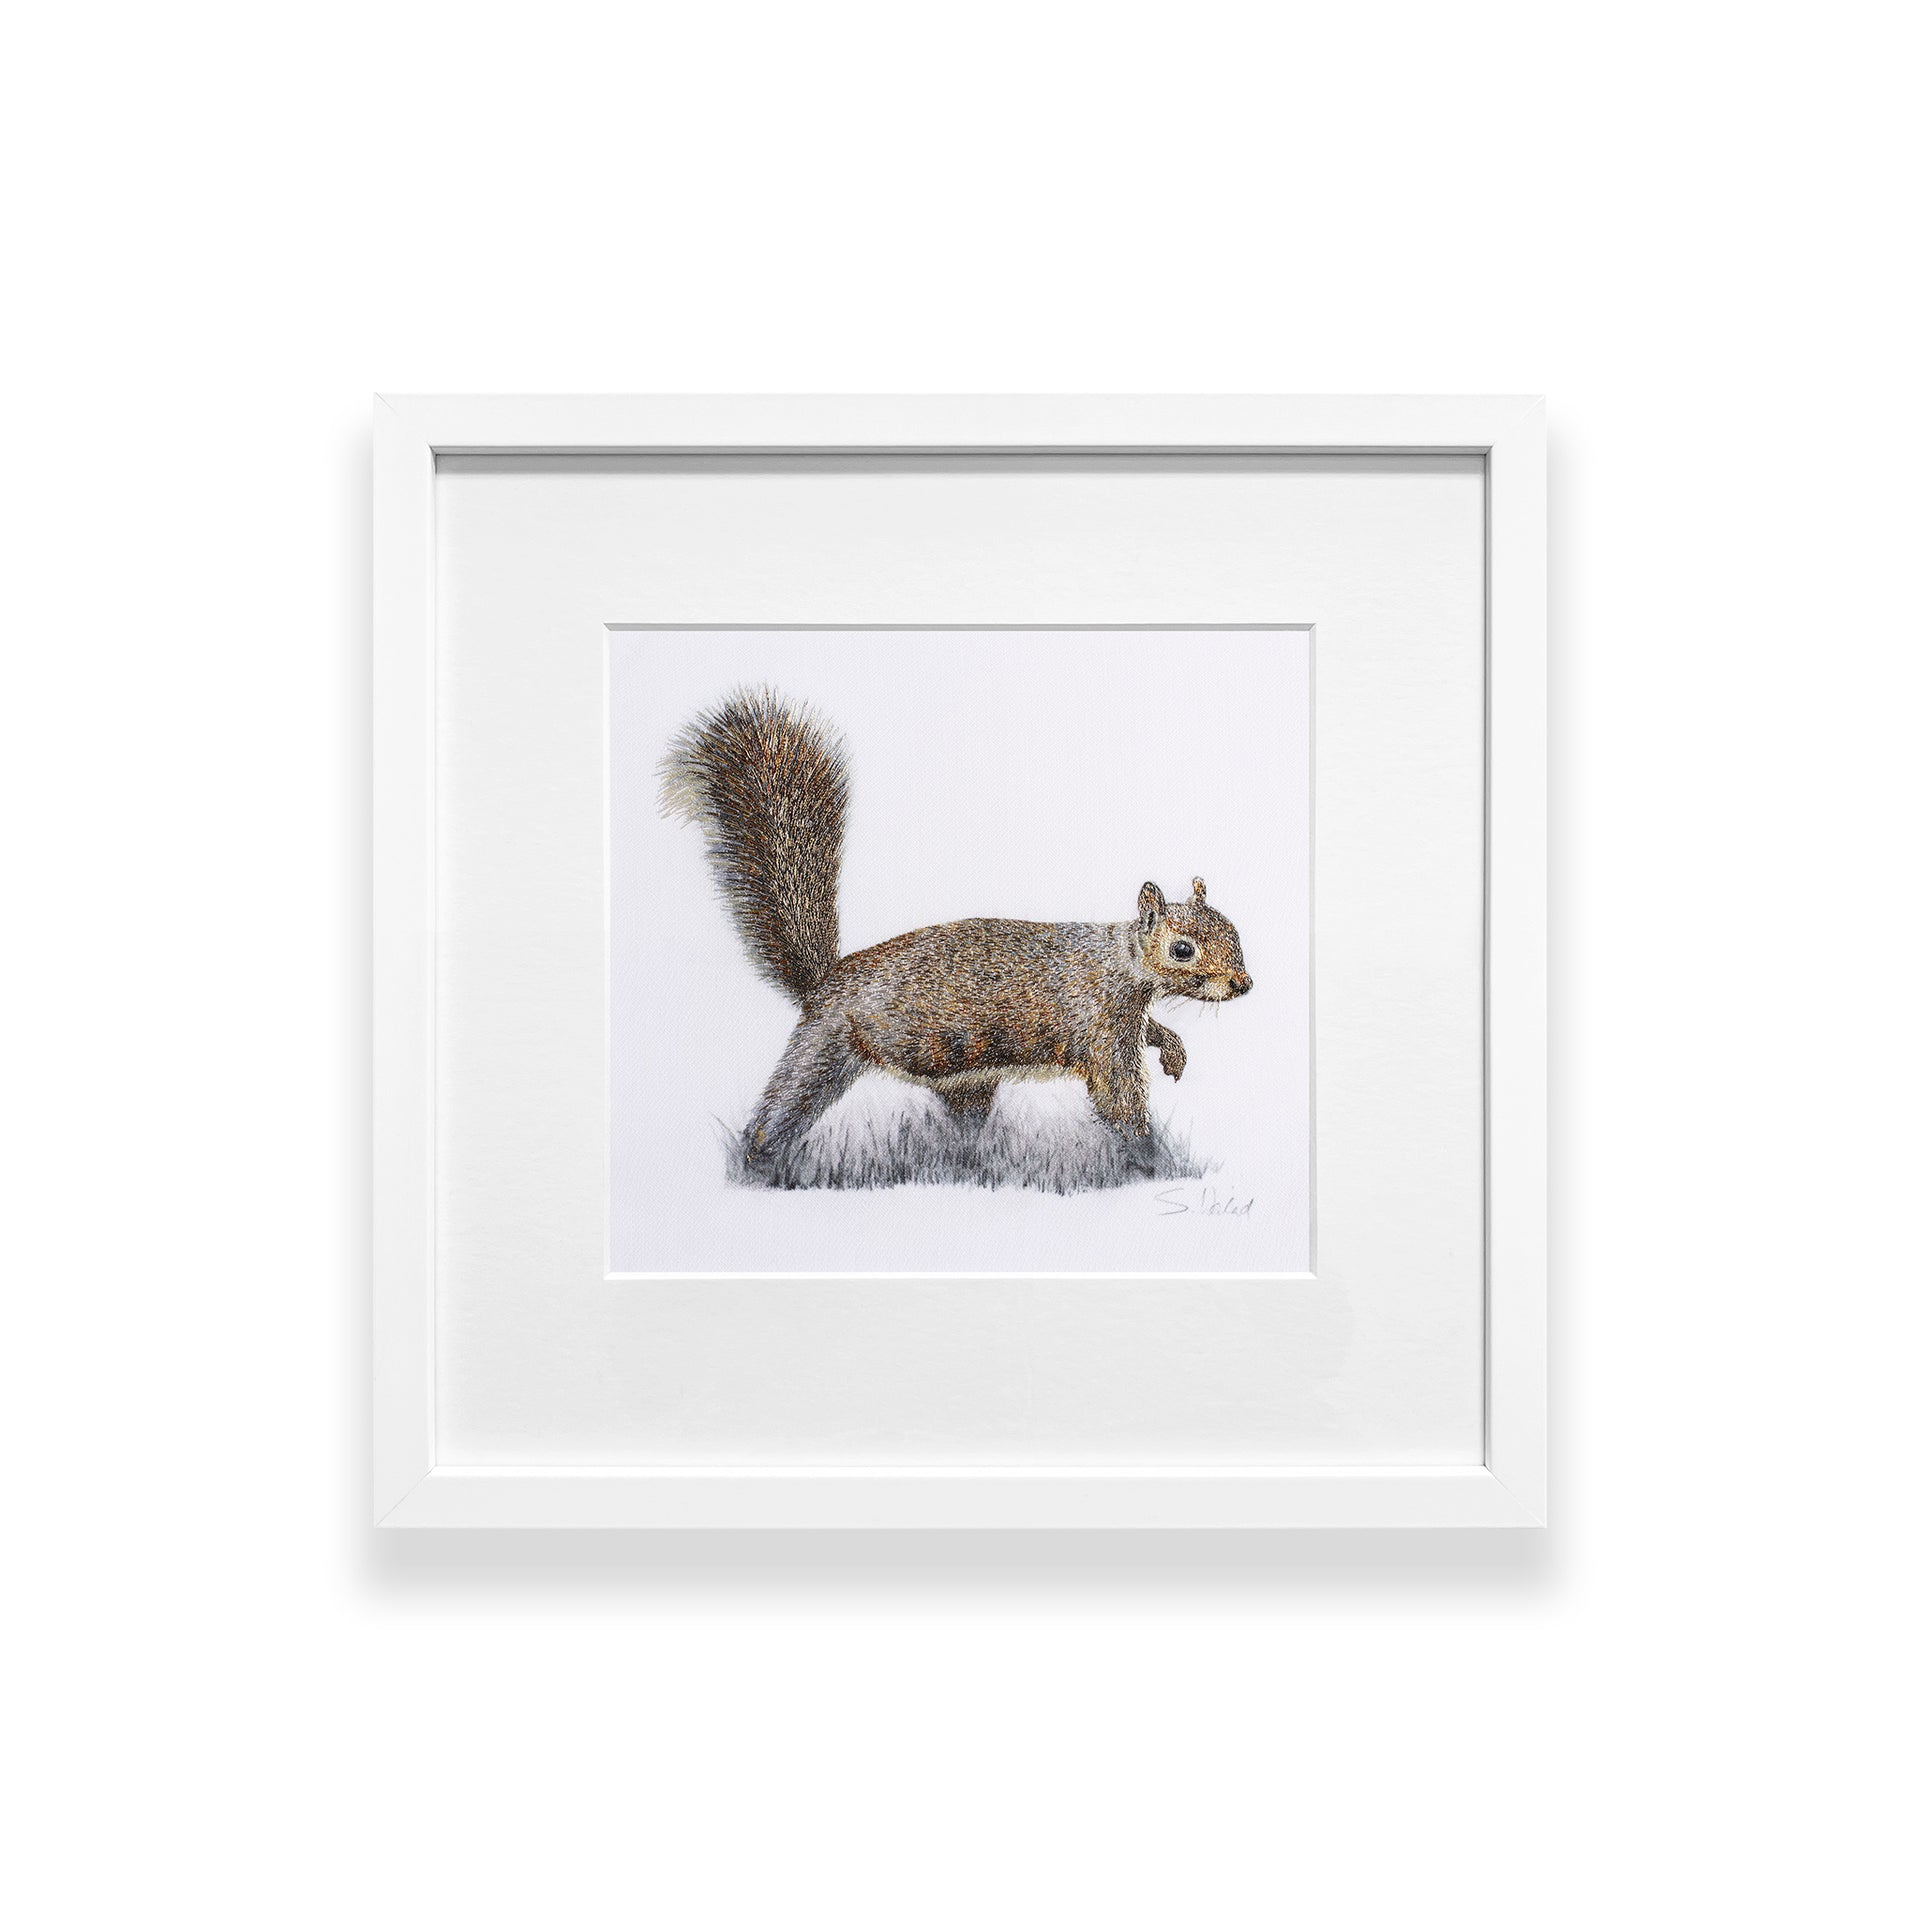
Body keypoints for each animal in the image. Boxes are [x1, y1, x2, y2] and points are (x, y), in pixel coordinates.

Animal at [660, 687, 1253, 1172]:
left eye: (1234, 931)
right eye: (1182, 949)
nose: (1243, 984)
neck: (1120, 962)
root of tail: (825, 981)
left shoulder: (1126, 1018)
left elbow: (1152, 1032)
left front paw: (1172, 1050)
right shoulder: (1101, 1026)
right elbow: (1119, 1098)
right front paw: (1147, 1156)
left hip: (967, 1079)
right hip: (824, 1047)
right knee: (782, 1107)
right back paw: (759, 1162)